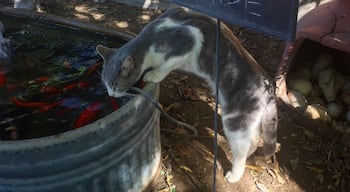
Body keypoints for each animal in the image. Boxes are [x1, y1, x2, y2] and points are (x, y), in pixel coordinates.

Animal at [95, 7, 276, 183]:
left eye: (115, 85)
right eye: (105, 84)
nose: (111, 95)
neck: (150, 37)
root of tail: (268, 87)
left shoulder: (190, 39)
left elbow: (166, 65)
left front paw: (153, 75)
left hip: (235, 120)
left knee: (241, 148)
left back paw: (235, 174)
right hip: (249, 119)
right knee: (253, 139)